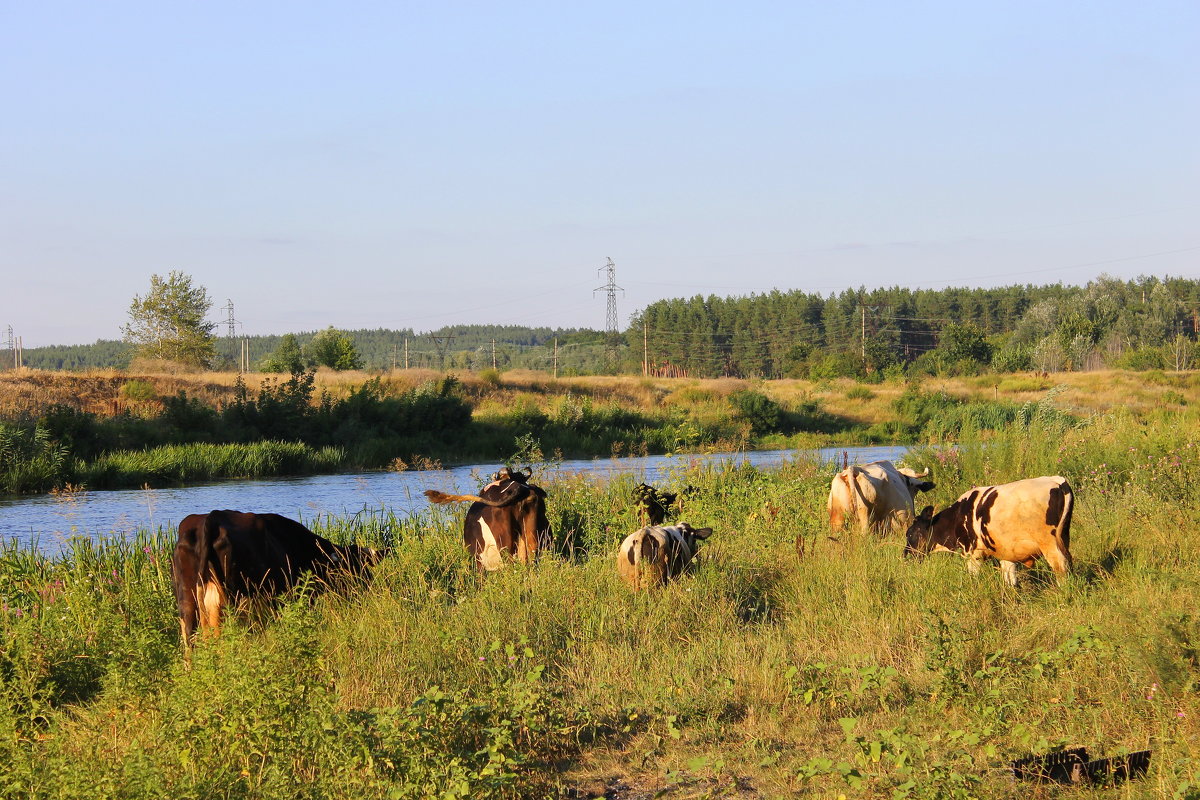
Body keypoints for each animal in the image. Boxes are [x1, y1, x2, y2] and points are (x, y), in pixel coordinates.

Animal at [902, 474, 1080, 587]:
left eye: (910, 533)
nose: (906, 555)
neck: (957, 516)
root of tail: (1057, 480)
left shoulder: (972, 554)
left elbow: (973, 579)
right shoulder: (1007, 554)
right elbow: (1010, 582)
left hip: (1049, 543)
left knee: (1060, 567)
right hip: (1064, 537)